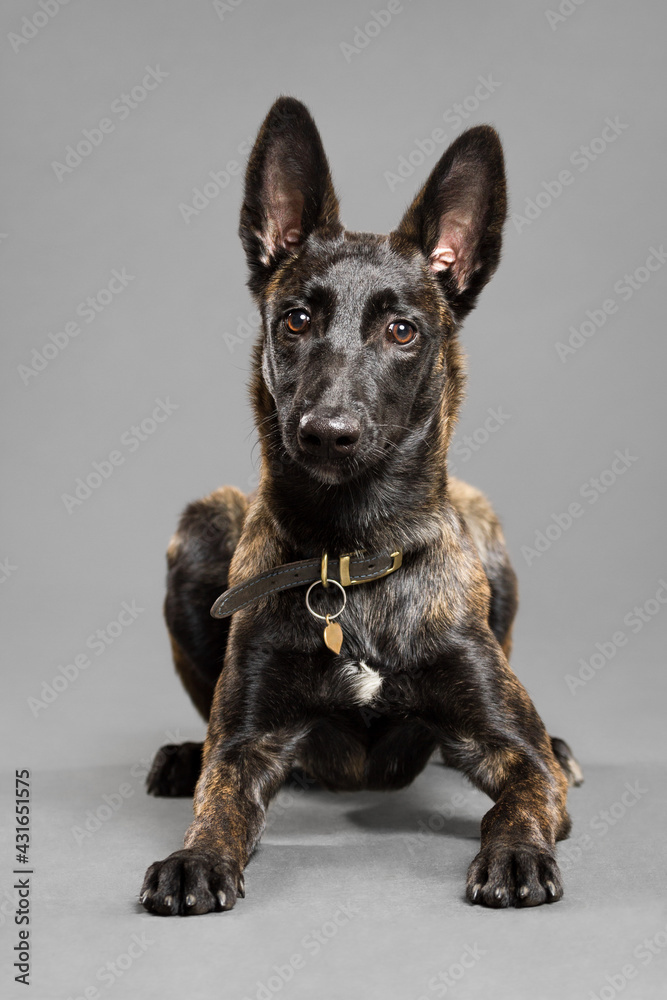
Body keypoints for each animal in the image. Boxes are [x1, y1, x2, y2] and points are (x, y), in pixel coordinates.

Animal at [141, 95, 584, 916]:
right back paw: (183, 755)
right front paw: (195, 857)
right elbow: (220, 798)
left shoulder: (511, 751)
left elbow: (521, 792)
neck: (352, 554)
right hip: (199, 529)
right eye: (296, 319)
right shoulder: (248, 743)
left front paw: (513, 852)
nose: (327, 431)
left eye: (401, 330)